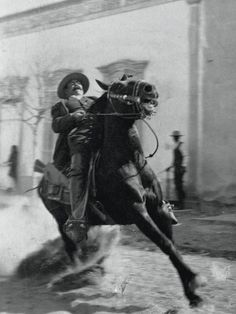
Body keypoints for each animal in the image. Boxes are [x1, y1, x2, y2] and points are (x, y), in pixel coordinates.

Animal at [37, 76, 206, 306]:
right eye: (118, 86)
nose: (150, 89)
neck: (128, 161)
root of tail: (42, 179)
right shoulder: (137, 212)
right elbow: (165, 244)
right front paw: (195, 280)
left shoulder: (158, 209)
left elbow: (171, 245)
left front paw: (192, 294)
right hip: (60, 218)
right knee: (72, 247)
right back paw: (79, 273)